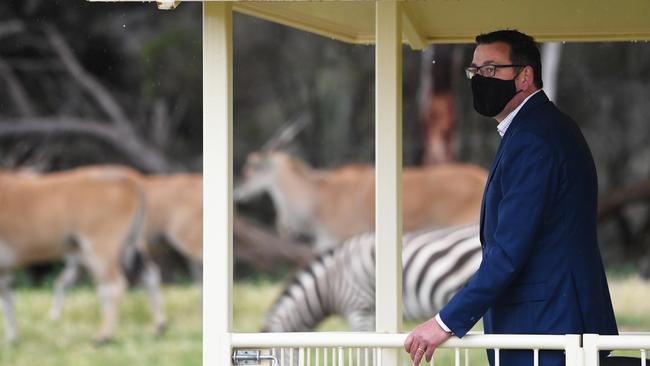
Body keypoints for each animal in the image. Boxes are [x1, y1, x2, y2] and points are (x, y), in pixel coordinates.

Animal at [0, 166, 165, 344]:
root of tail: (129, 181)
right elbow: (8, 300)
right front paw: (12, 339)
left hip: (100, 250)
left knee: (113, 286)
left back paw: (103, 336)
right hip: (129, 246)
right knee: (149, 276)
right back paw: (159, 326)